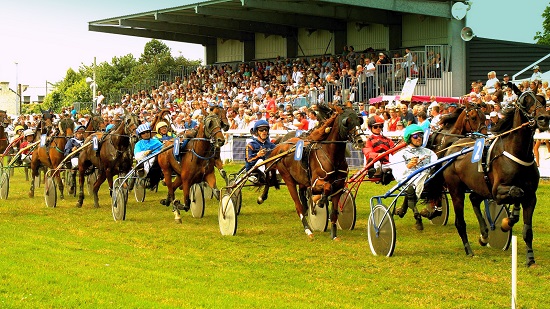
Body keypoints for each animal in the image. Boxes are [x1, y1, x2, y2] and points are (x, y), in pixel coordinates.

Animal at [260, 104, 364, 239]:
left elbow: (334, 211)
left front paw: (334, 235)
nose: (360, 140)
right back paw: (308, 229)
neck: (332, 156)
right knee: (297, 205)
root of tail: (281, 146)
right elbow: (326, 187)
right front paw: (319, 201)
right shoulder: (315, 183)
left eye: (359, 120)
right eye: (347, 121)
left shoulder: (339, 186)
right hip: (288, 179)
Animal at [442, 92, 548, 264]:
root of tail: (454, 146)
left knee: (474, 198)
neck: (517, 153)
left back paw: (484, 235)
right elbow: (516, 192)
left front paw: (530, 259)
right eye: (525, 102)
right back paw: (469, 250)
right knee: (460, 221)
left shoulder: (531, 196)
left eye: (543, 101)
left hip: (480, 186)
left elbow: (527, 229)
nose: (544, 118)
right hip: (456, 189)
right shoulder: (497, 191)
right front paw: (506, 223)